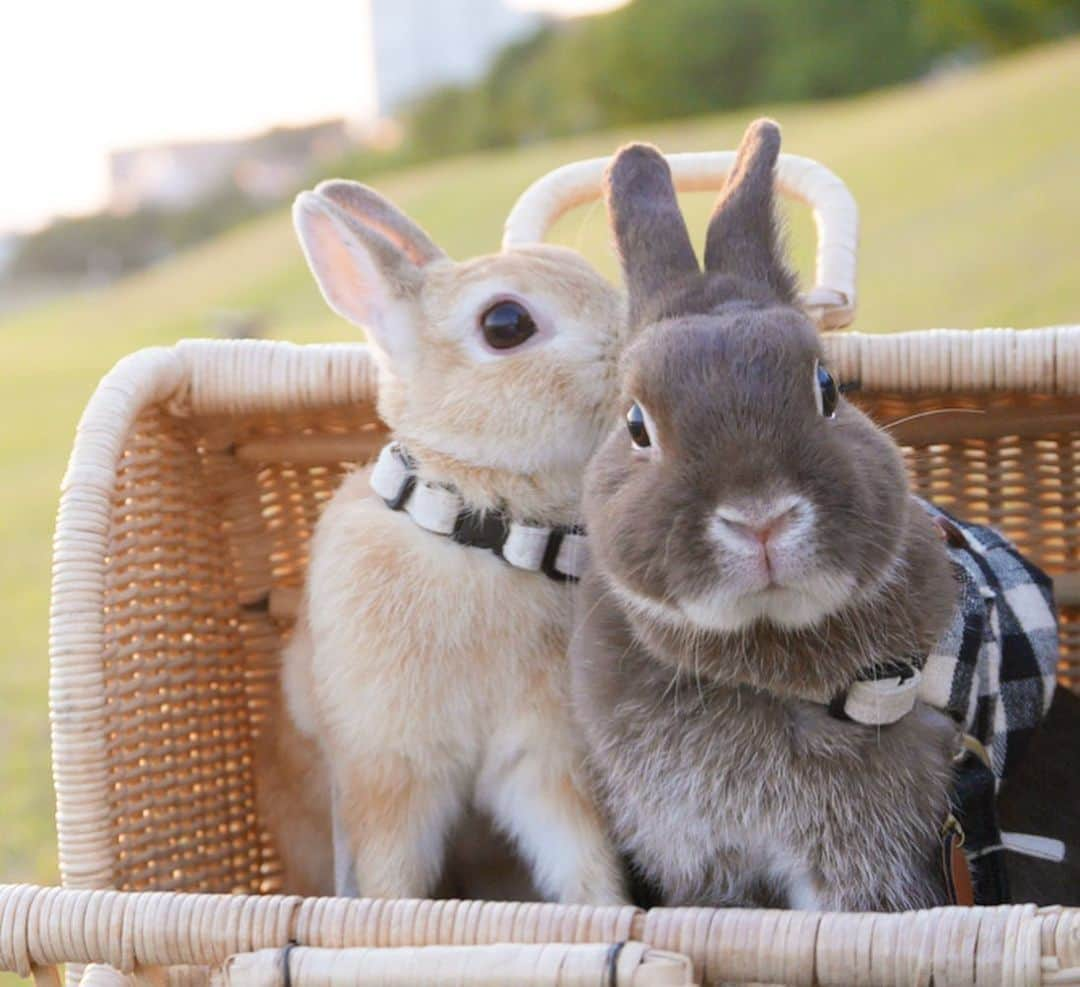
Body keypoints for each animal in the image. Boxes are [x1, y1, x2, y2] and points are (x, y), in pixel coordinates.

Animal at [274, 177, 630, 898]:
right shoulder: (387, 771)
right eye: (505, 324)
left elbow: (580, 857)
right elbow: (390, 871)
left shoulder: (542, 758)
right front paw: (388, 917)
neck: (479, 525)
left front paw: (605, 908)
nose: (634, 338)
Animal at [574, 119, 963, 911]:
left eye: (828, 387)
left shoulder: (864, 868)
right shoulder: (702, 868)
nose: (760, 519)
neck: (764, 659)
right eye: (635, 425)